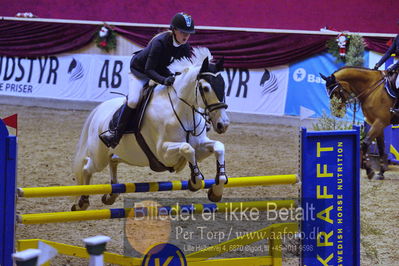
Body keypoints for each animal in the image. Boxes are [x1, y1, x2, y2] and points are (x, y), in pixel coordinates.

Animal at [70, 47, 230, 210]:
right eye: (206, 88)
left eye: (224, 86)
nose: (223, 124)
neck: (182, 112)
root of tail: (99, 109)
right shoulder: (163, 153)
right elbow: (187, 148)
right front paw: (195, 180)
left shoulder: (200, 147)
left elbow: (218, 147)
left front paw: (216, 190)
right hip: (99, 156)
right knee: (87, 168)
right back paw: (82, 202)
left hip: (122, 154)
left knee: (113, 161)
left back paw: (110, 195)